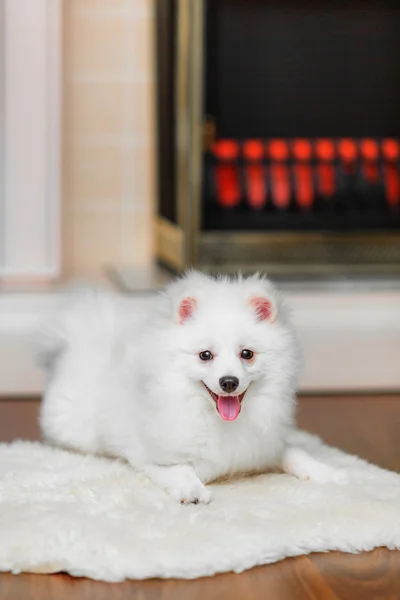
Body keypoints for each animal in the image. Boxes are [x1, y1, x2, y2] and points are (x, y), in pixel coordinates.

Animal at [36, 270, 344, 502]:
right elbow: (181, 470)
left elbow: (295, 452)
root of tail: (84, 339)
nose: (229, 382)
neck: (217, 421)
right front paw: (192, 491)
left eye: (247, 354)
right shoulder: (150, 457)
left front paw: (327, 472)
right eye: (205, 355)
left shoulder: (262, 446)